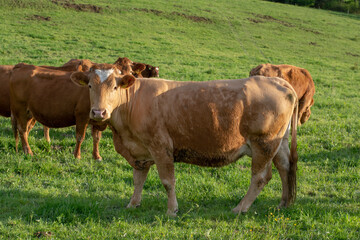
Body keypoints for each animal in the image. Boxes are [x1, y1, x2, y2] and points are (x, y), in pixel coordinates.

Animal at [70, 64, 298, 218]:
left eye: (115, 88)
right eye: (89, 85)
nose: (98, 112)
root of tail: (279, 82)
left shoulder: (160, 147)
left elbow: (167, 181)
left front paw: (172, 210)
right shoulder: (140, 152)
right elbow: (138, 179)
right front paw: (133, 204)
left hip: (264, 144)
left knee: (260, 177)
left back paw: (240, 208)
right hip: (279, 143)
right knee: (284, 167)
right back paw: (284, 203)